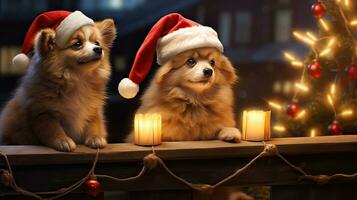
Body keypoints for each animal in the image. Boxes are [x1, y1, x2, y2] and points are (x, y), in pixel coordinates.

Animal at [0, 19, 116, 152]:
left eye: (97, 42)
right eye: (77, 44)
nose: (98, 49)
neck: (79, 79)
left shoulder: (92, 110)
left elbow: (94, 124)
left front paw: (96, 138)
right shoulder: (43, 113)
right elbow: (53, 129)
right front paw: (63, 141)